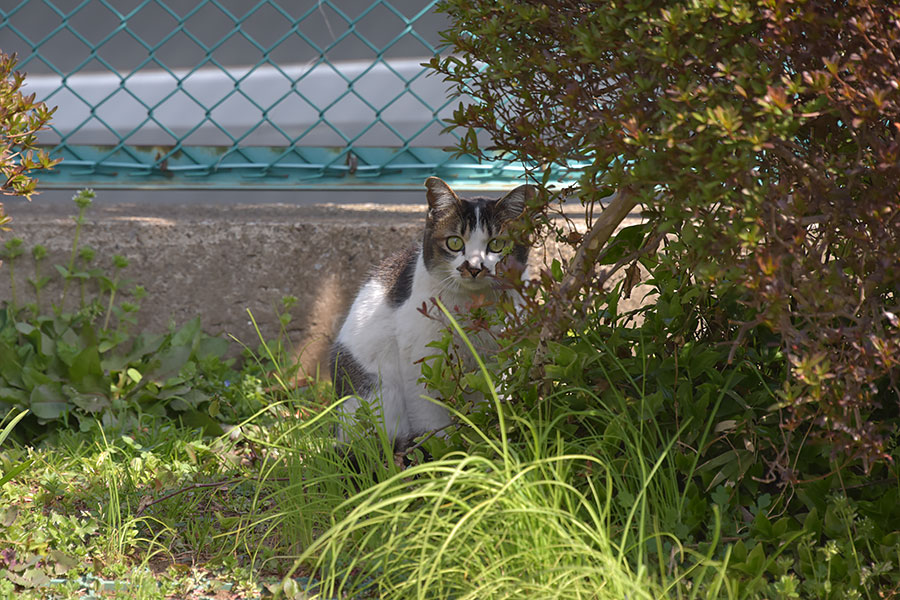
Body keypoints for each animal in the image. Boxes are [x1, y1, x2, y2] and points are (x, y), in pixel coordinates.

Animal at [330, 177, 536, 450]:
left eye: (497, 244)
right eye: (454, 242)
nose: (474, 267)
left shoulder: (500, 356)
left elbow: (493, 397)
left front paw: (490, 437)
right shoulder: (420, 357)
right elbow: (429, 413)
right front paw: (443, 448)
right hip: (377, 392)